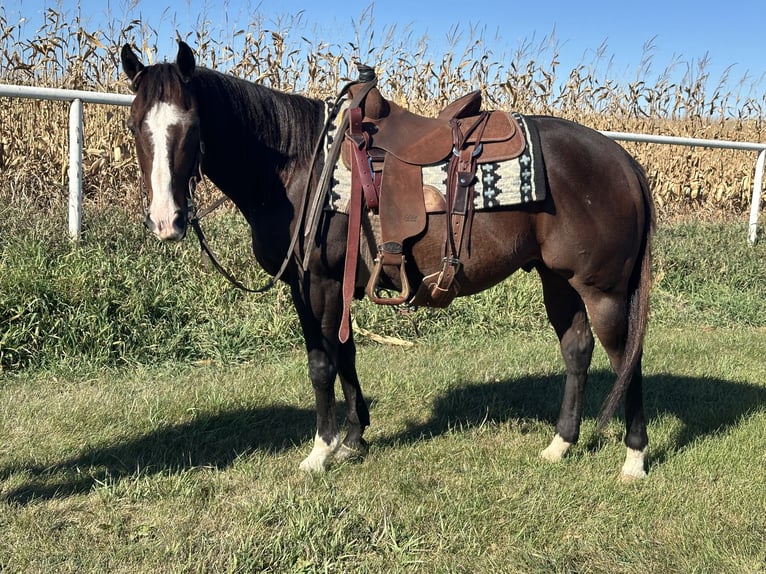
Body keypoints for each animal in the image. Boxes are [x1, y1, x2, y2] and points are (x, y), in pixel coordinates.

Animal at [123, 41, 656, 482]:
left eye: (191, 126)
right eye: (133, 126)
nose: (166, 220)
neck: (299, 166)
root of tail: (624, 161)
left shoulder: (317, 282)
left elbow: (321, 363)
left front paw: (321, 451)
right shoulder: (320, 287)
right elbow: (345, 355)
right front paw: (354, 438)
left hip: (603, 290)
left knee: (625, 358)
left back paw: (634, 459)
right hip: (558, 280)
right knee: (577, 350)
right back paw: (560, 445)